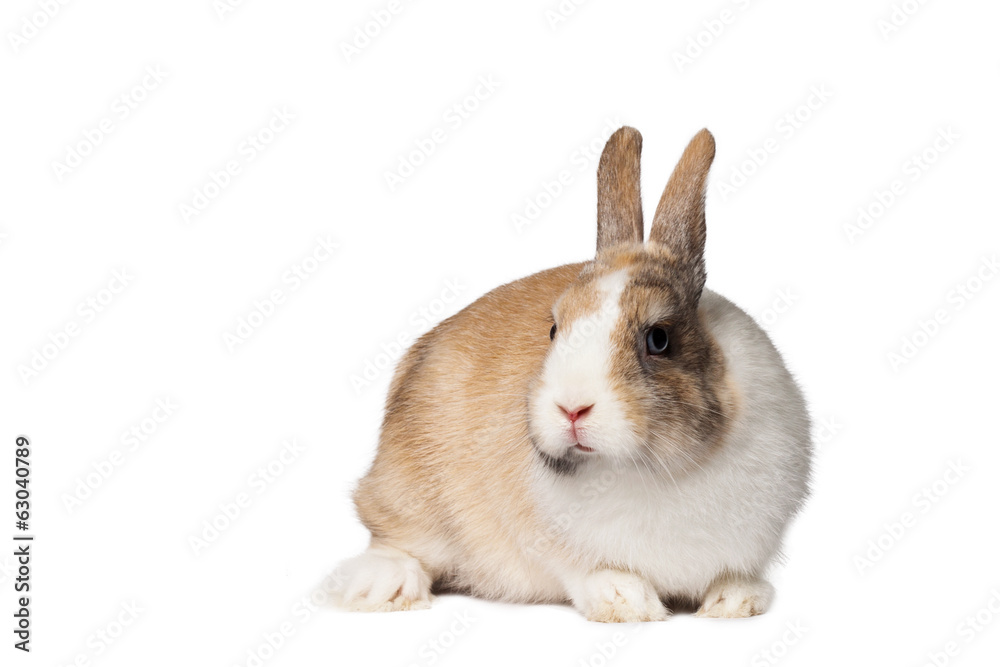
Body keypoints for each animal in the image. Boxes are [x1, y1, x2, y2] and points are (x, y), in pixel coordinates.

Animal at [336, 127, 811, 622]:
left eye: (659, 339)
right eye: (553, 328)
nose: (571, 408)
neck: (661, 468)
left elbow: (732, 577)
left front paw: (735, 602)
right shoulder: (552, 543)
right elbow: (589, 572)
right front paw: (628, 602)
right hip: (408, 491)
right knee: (394, 538)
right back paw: (386, 587)